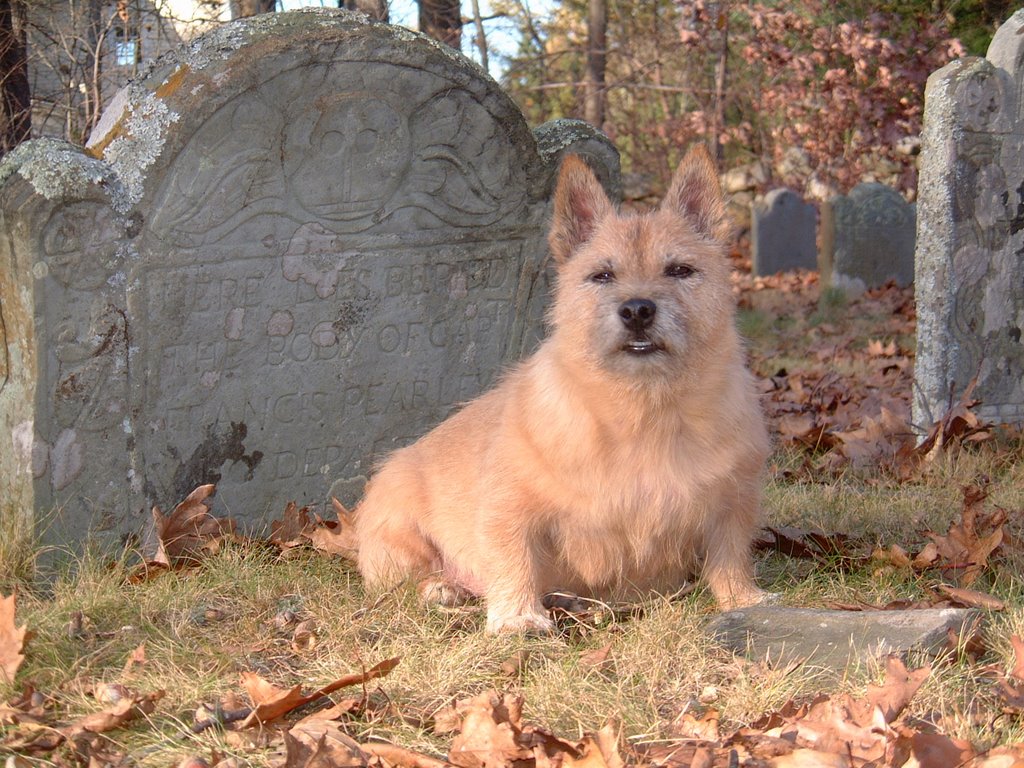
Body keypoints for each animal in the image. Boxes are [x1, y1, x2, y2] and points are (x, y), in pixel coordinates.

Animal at [352, 147, 770, 634]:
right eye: (602, 275)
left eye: (681, 270)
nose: (637, 310)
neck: (644, 410)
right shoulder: (511, 505)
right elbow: (513, 558)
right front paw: (517, 617)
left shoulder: (733, 503)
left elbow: (730, 558)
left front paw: (744, 600)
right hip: (400, 533)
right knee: (410, 578)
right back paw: (442, 588)